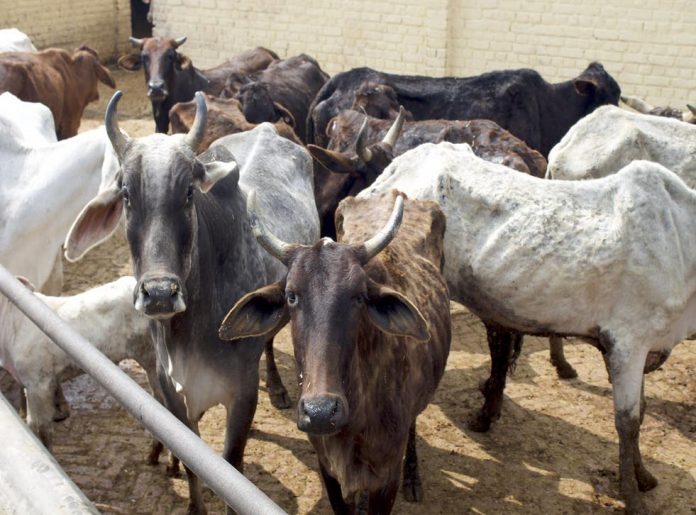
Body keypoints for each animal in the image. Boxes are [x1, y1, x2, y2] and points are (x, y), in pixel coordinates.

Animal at [219, 191, 451, 514]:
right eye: (291, 296)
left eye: (359, 297)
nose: (320, 412)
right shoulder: (328, 469)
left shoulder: (386, 478)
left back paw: (413, 479)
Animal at [361, 142, 696, 514]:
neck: (681, 235)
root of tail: (392, 172)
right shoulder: (627, 343)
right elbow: (628, 423)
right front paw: (633, 496)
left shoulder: (643, 347)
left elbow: (642, 411)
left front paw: (644, 476)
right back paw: (411, 476)